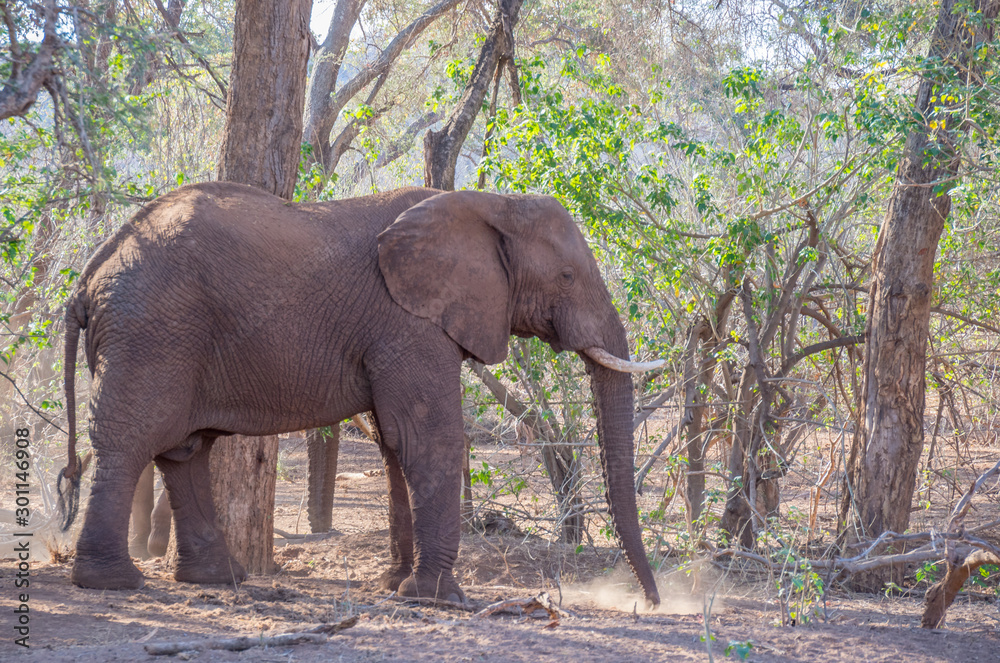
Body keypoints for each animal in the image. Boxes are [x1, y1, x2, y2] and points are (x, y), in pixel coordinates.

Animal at [58, 182, 663, 606]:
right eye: (566, 277)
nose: (653, 601)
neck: (488, 203)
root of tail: (87, 275)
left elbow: (396, 444)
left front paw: (395, 585)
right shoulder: (408, 321)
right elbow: (428, 437)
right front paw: (443, 599)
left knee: (184, 451)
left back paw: (219, 578)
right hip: (152, 332)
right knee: (132, 440)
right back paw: (111, 582)